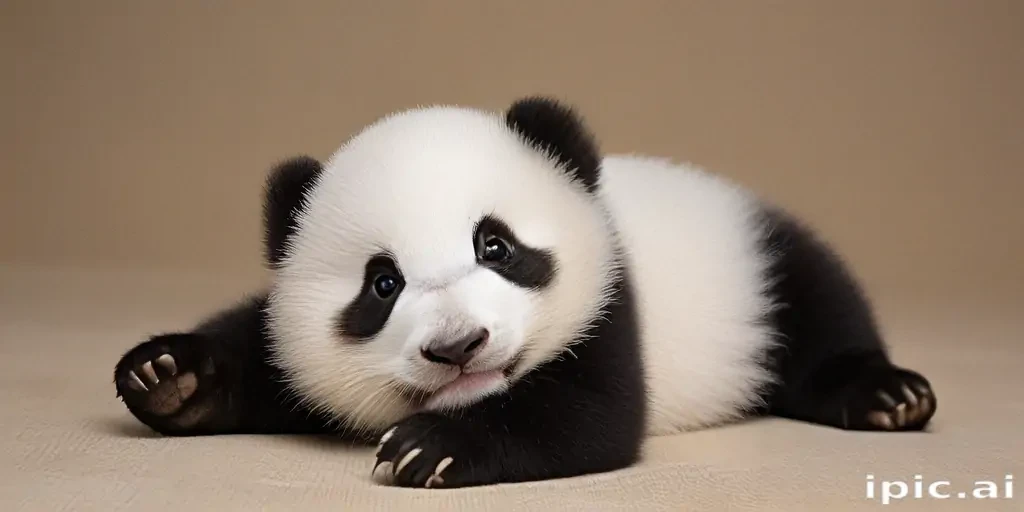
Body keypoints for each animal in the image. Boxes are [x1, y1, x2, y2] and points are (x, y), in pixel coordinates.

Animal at [113, 96, 936, 489]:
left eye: (496, 246)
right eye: (383, 284)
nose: (458, 347)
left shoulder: (609, 301)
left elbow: (588, 415)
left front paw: (433, 447)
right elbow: (264, 351)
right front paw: (169, 376)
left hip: (760, 259)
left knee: (821, 304)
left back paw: (887, 395)